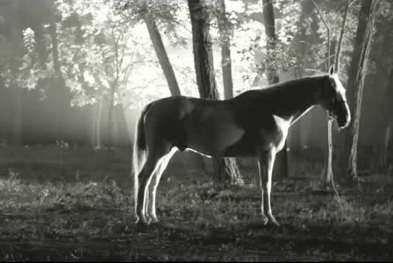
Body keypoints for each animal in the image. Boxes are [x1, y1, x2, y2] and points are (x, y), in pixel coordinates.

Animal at [132, 66, 350, 227]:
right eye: (333, 91)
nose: (345, 119)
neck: (273, 109)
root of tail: (153, 104)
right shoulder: (266, 153)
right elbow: (266, 184)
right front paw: (270, 218)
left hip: (166, 154)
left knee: (153, 182)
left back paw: (153, 217)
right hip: (159, 152)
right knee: (143, 178)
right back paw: (141, 218)